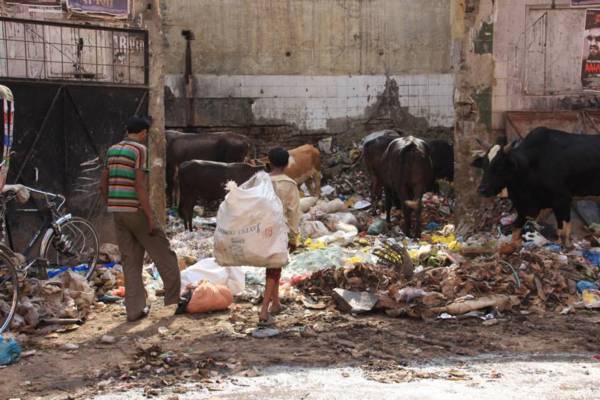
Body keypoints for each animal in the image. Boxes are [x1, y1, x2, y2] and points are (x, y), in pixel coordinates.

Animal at [472, 128, 600, 245]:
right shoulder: (524, 206)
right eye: (484, 165)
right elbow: (516, 230)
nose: (482, 189)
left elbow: (563, 231)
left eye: (499, 166)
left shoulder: (562, 200)